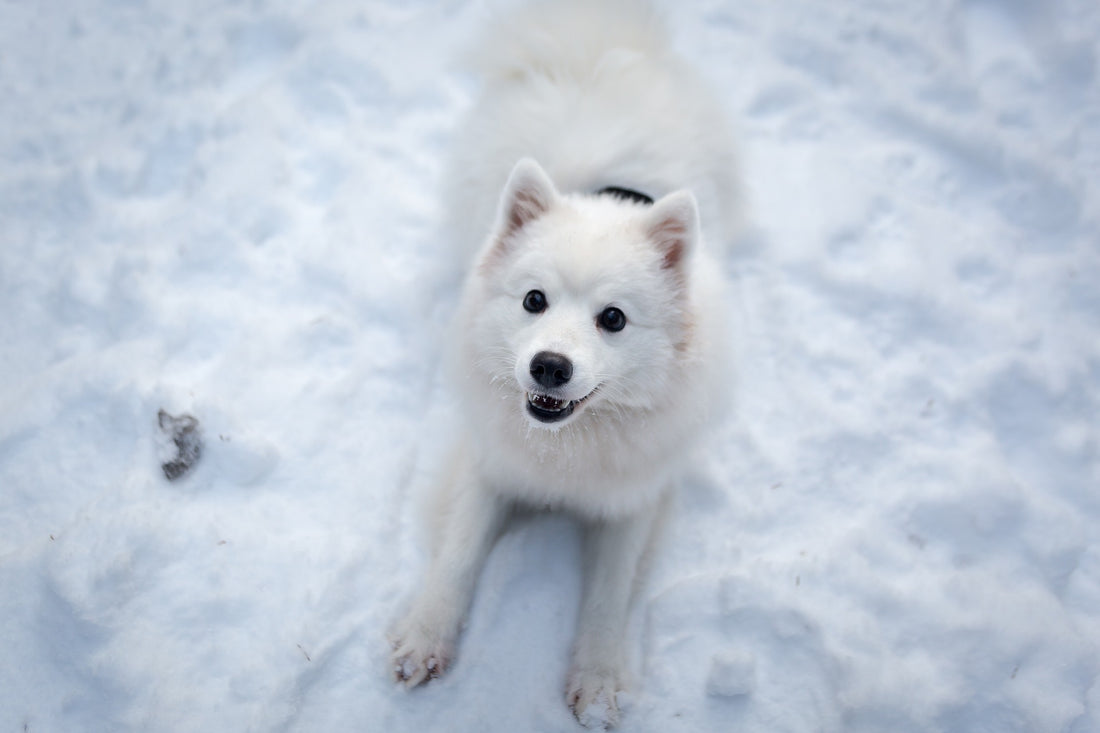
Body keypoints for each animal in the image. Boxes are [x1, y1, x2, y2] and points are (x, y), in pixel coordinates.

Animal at [387, 0, 739, 721]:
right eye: (534, 300)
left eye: (614, 318)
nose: (549, 366)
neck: (568, 449)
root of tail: (596, 44)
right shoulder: (488, 465)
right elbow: (457, 553)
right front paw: (424, 637)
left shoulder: (634, 500)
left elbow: (609, 595)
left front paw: (599, 682)